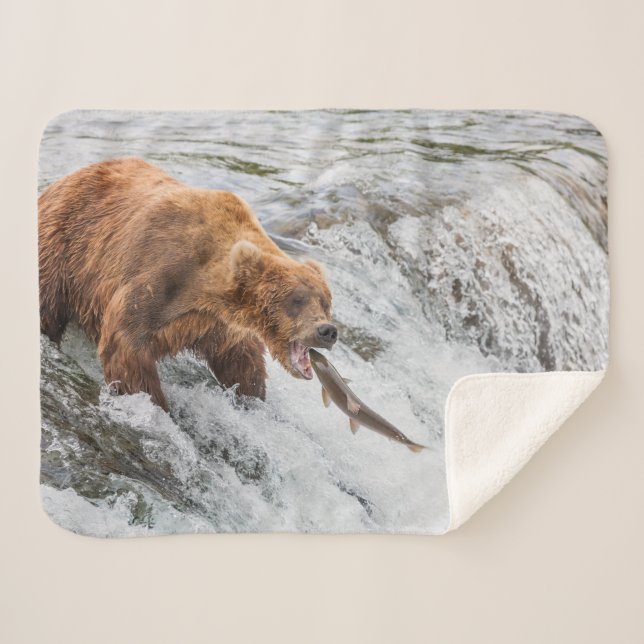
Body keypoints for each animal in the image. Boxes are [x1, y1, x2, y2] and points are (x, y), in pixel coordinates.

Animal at [39, 157, 338, 411]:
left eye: (326, 302)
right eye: (296, 300)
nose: (327, 331)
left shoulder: (217, 324)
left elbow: (241, 360)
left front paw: (252, 396)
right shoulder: (158, 275)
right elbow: (125, 346)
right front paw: (157, 405)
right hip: (64, 250)